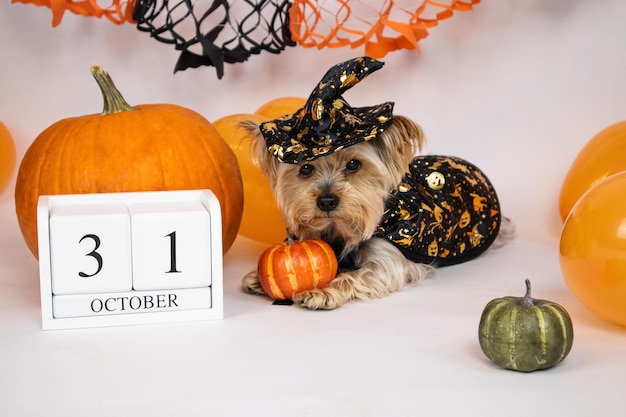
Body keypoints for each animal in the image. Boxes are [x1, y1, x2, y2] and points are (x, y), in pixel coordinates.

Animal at [238, 57, 508, 308]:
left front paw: (322, 292)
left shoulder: (388, 262)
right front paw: (257, 278)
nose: (327, 201)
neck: (339, 229)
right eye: (305, 168)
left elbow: (357, 276)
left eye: (353, 165)